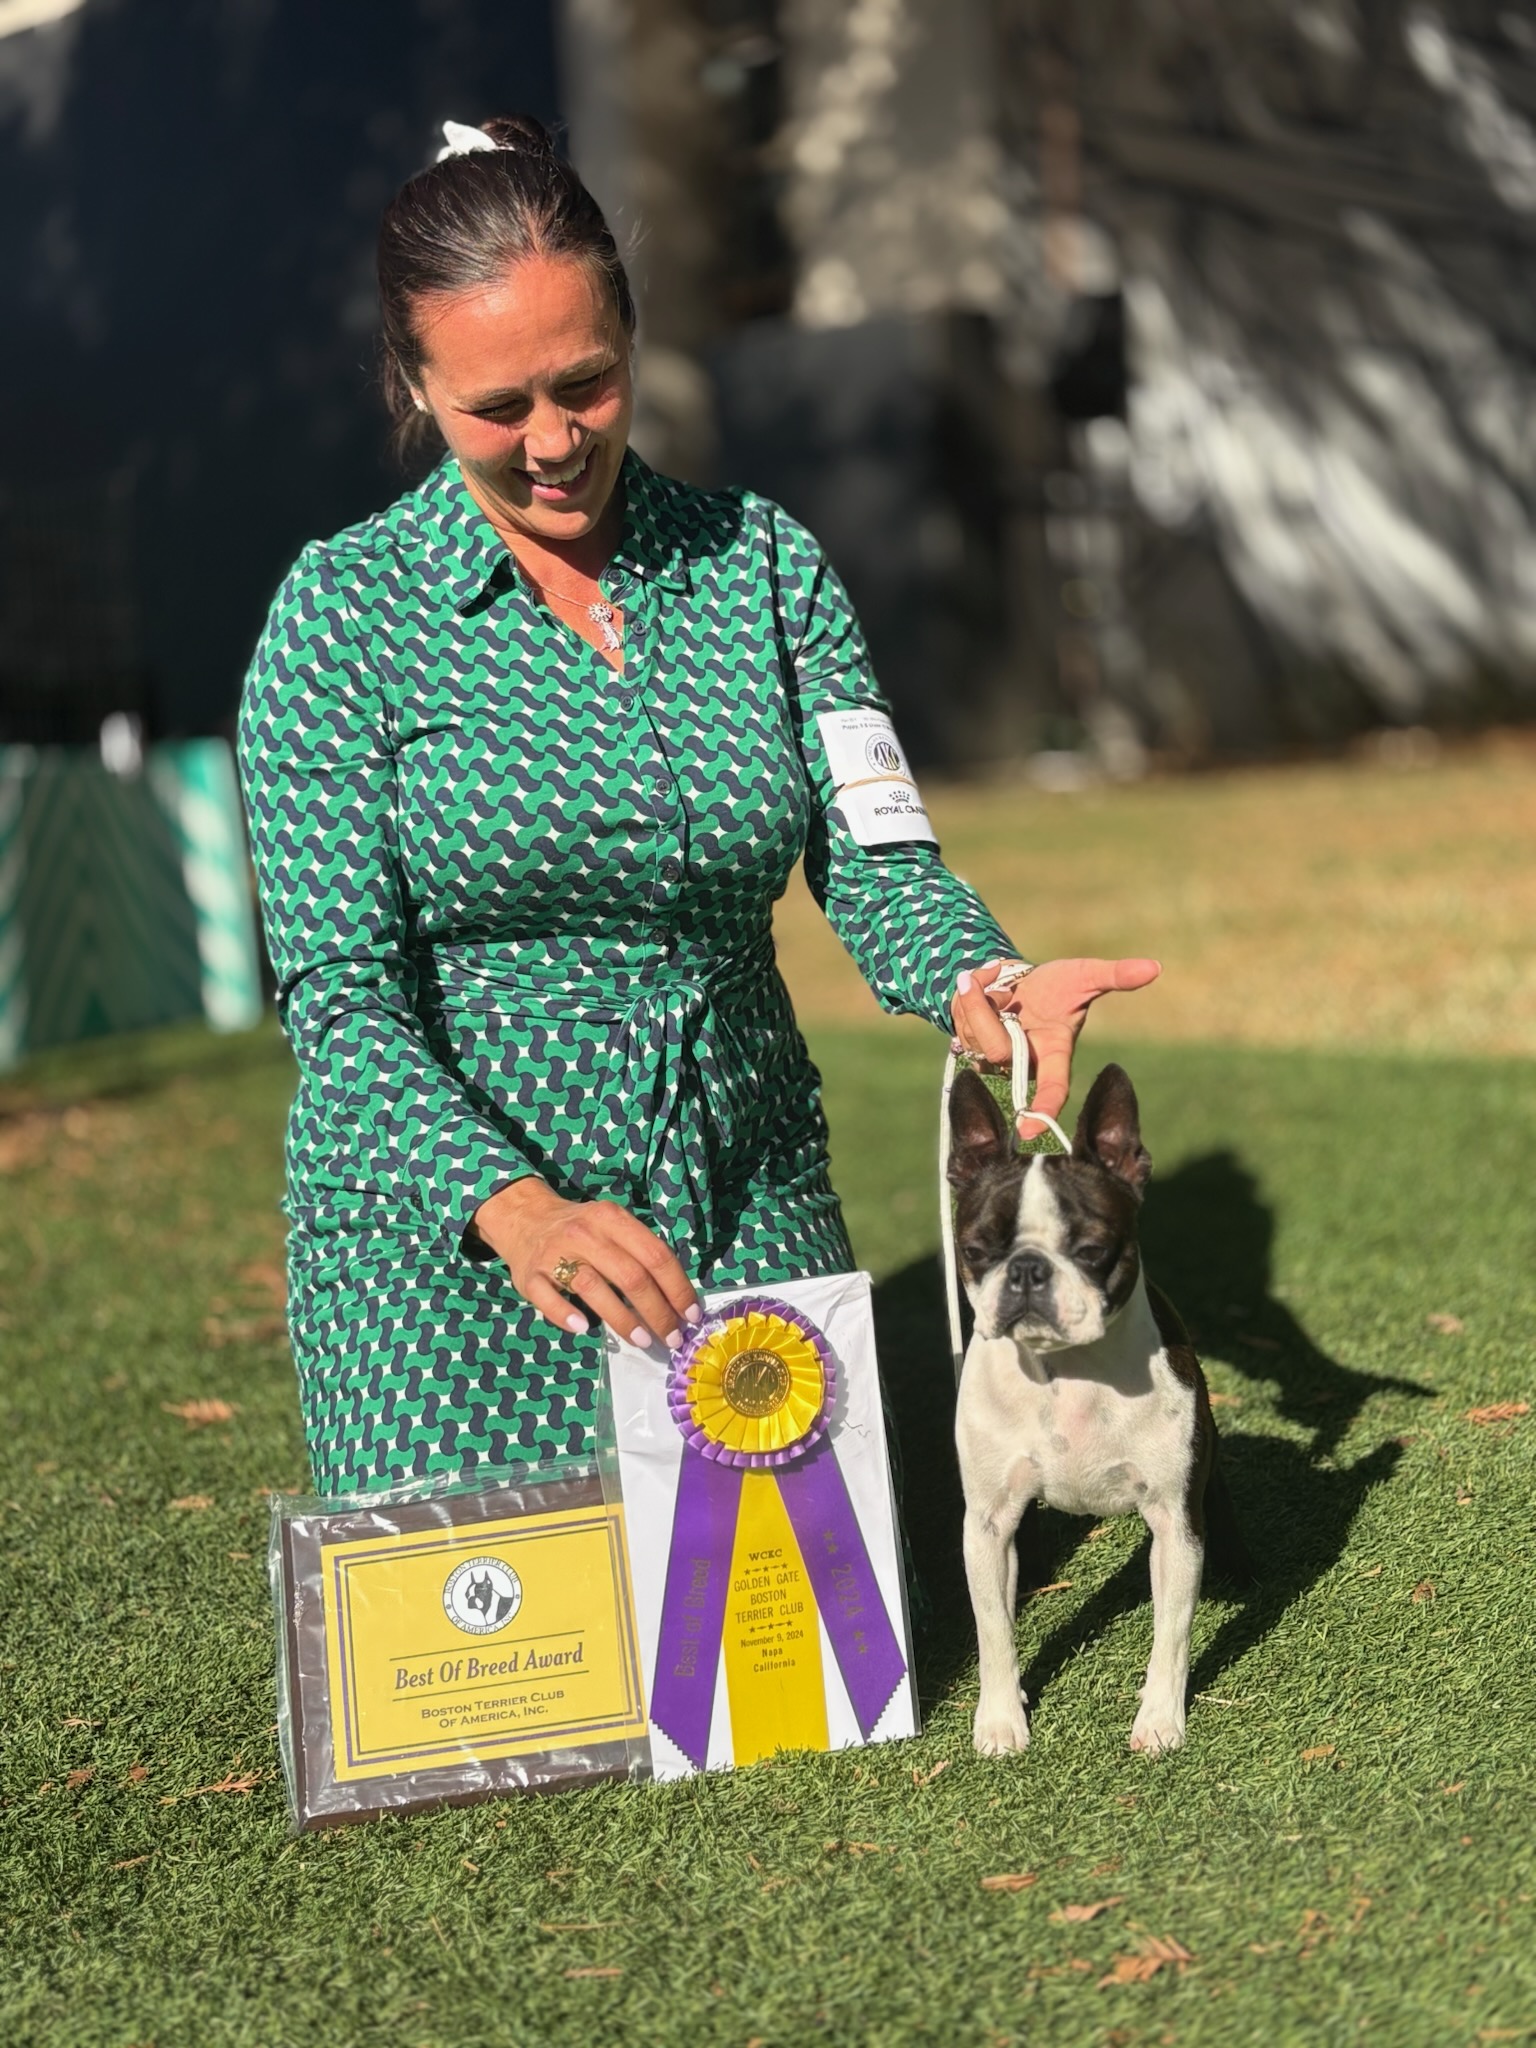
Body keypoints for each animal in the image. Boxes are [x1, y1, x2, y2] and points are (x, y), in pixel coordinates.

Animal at [947, 1061, 1249, 1757]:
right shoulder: (986, 1525)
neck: (1068, 1373)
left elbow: (1172, 1635)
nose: (1027, 1270)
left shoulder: (1174, 1525)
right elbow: (993, 1632)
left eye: (1091, 1250)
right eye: (974, 1251)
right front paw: (1000, 1720)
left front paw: (1160, 1721)